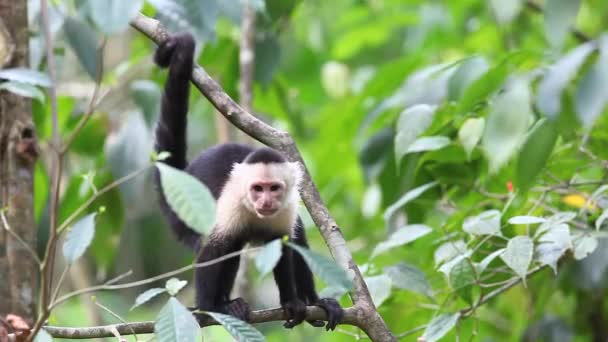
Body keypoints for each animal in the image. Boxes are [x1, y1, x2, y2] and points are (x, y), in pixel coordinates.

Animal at [153, 33, 342, 330]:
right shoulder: (231, 203)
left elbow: (284, 246)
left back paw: (314, 301)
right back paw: (223, 304)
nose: (265, 201)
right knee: (226, 246)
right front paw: (208, 308)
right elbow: (213, 248)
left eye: (274, 189)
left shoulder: (285, 208)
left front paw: (293, 303)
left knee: (296, 234)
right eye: (257, 189)